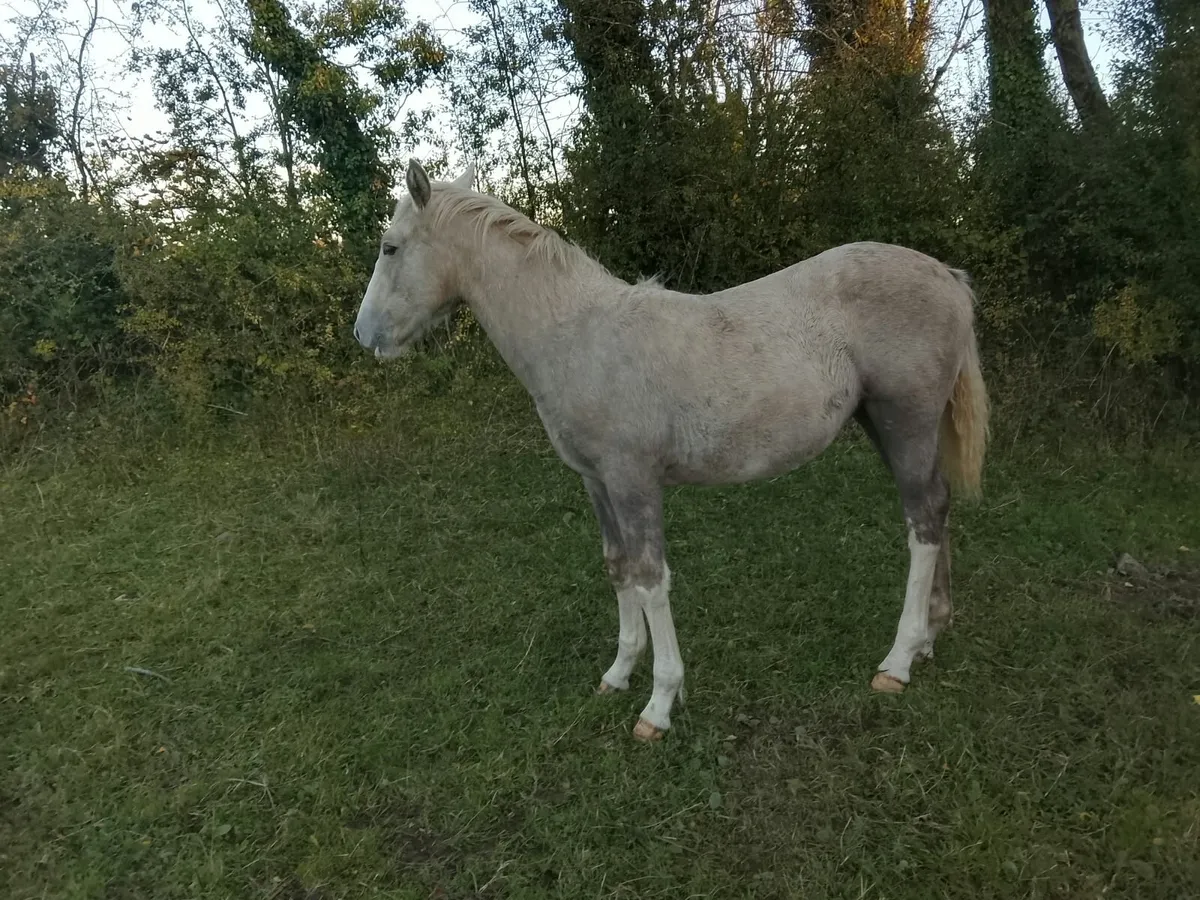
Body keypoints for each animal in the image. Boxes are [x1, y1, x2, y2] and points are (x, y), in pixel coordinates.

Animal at [354, 159, 989, 742]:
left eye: (390, 247)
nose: (364, 335)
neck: (578, 334)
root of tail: (949, 277)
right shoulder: (597, 481)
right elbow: (618, 567)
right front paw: (617, 673)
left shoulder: (634, 480)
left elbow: (650, 576)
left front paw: (658, 704)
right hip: (887, 426)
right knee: (936, 507)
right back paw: (929, 638)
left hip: (905, 421)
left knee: (922, 522)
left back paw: (898, 661)